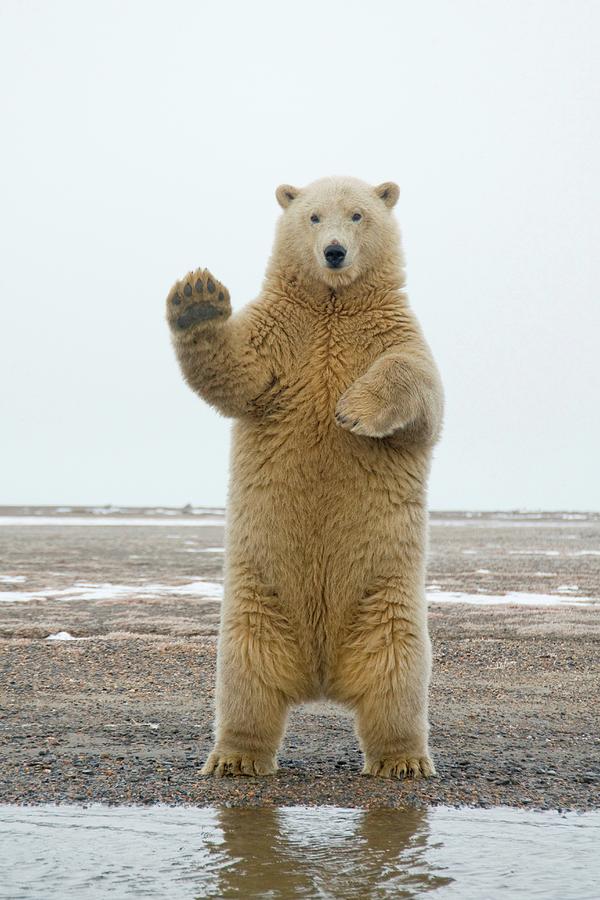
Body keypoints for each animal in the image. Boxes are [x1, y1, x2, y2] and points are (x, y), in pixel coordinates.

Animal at [166, 178, 442, 780]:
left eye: (358, 215)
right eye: (313, 217)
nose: (334, 253)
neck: (332, 305)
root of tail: (320, 677)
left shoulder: (391, 330)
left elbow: (418, 387)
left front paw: (353, 412)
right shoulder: (282, 333)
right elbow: (237, 370)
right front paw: (197, 297)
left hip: (386, 599)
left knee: (397, 674)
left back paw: (403, 760)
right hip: (257, 601)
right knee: (245, 676)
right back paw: (235, 757)